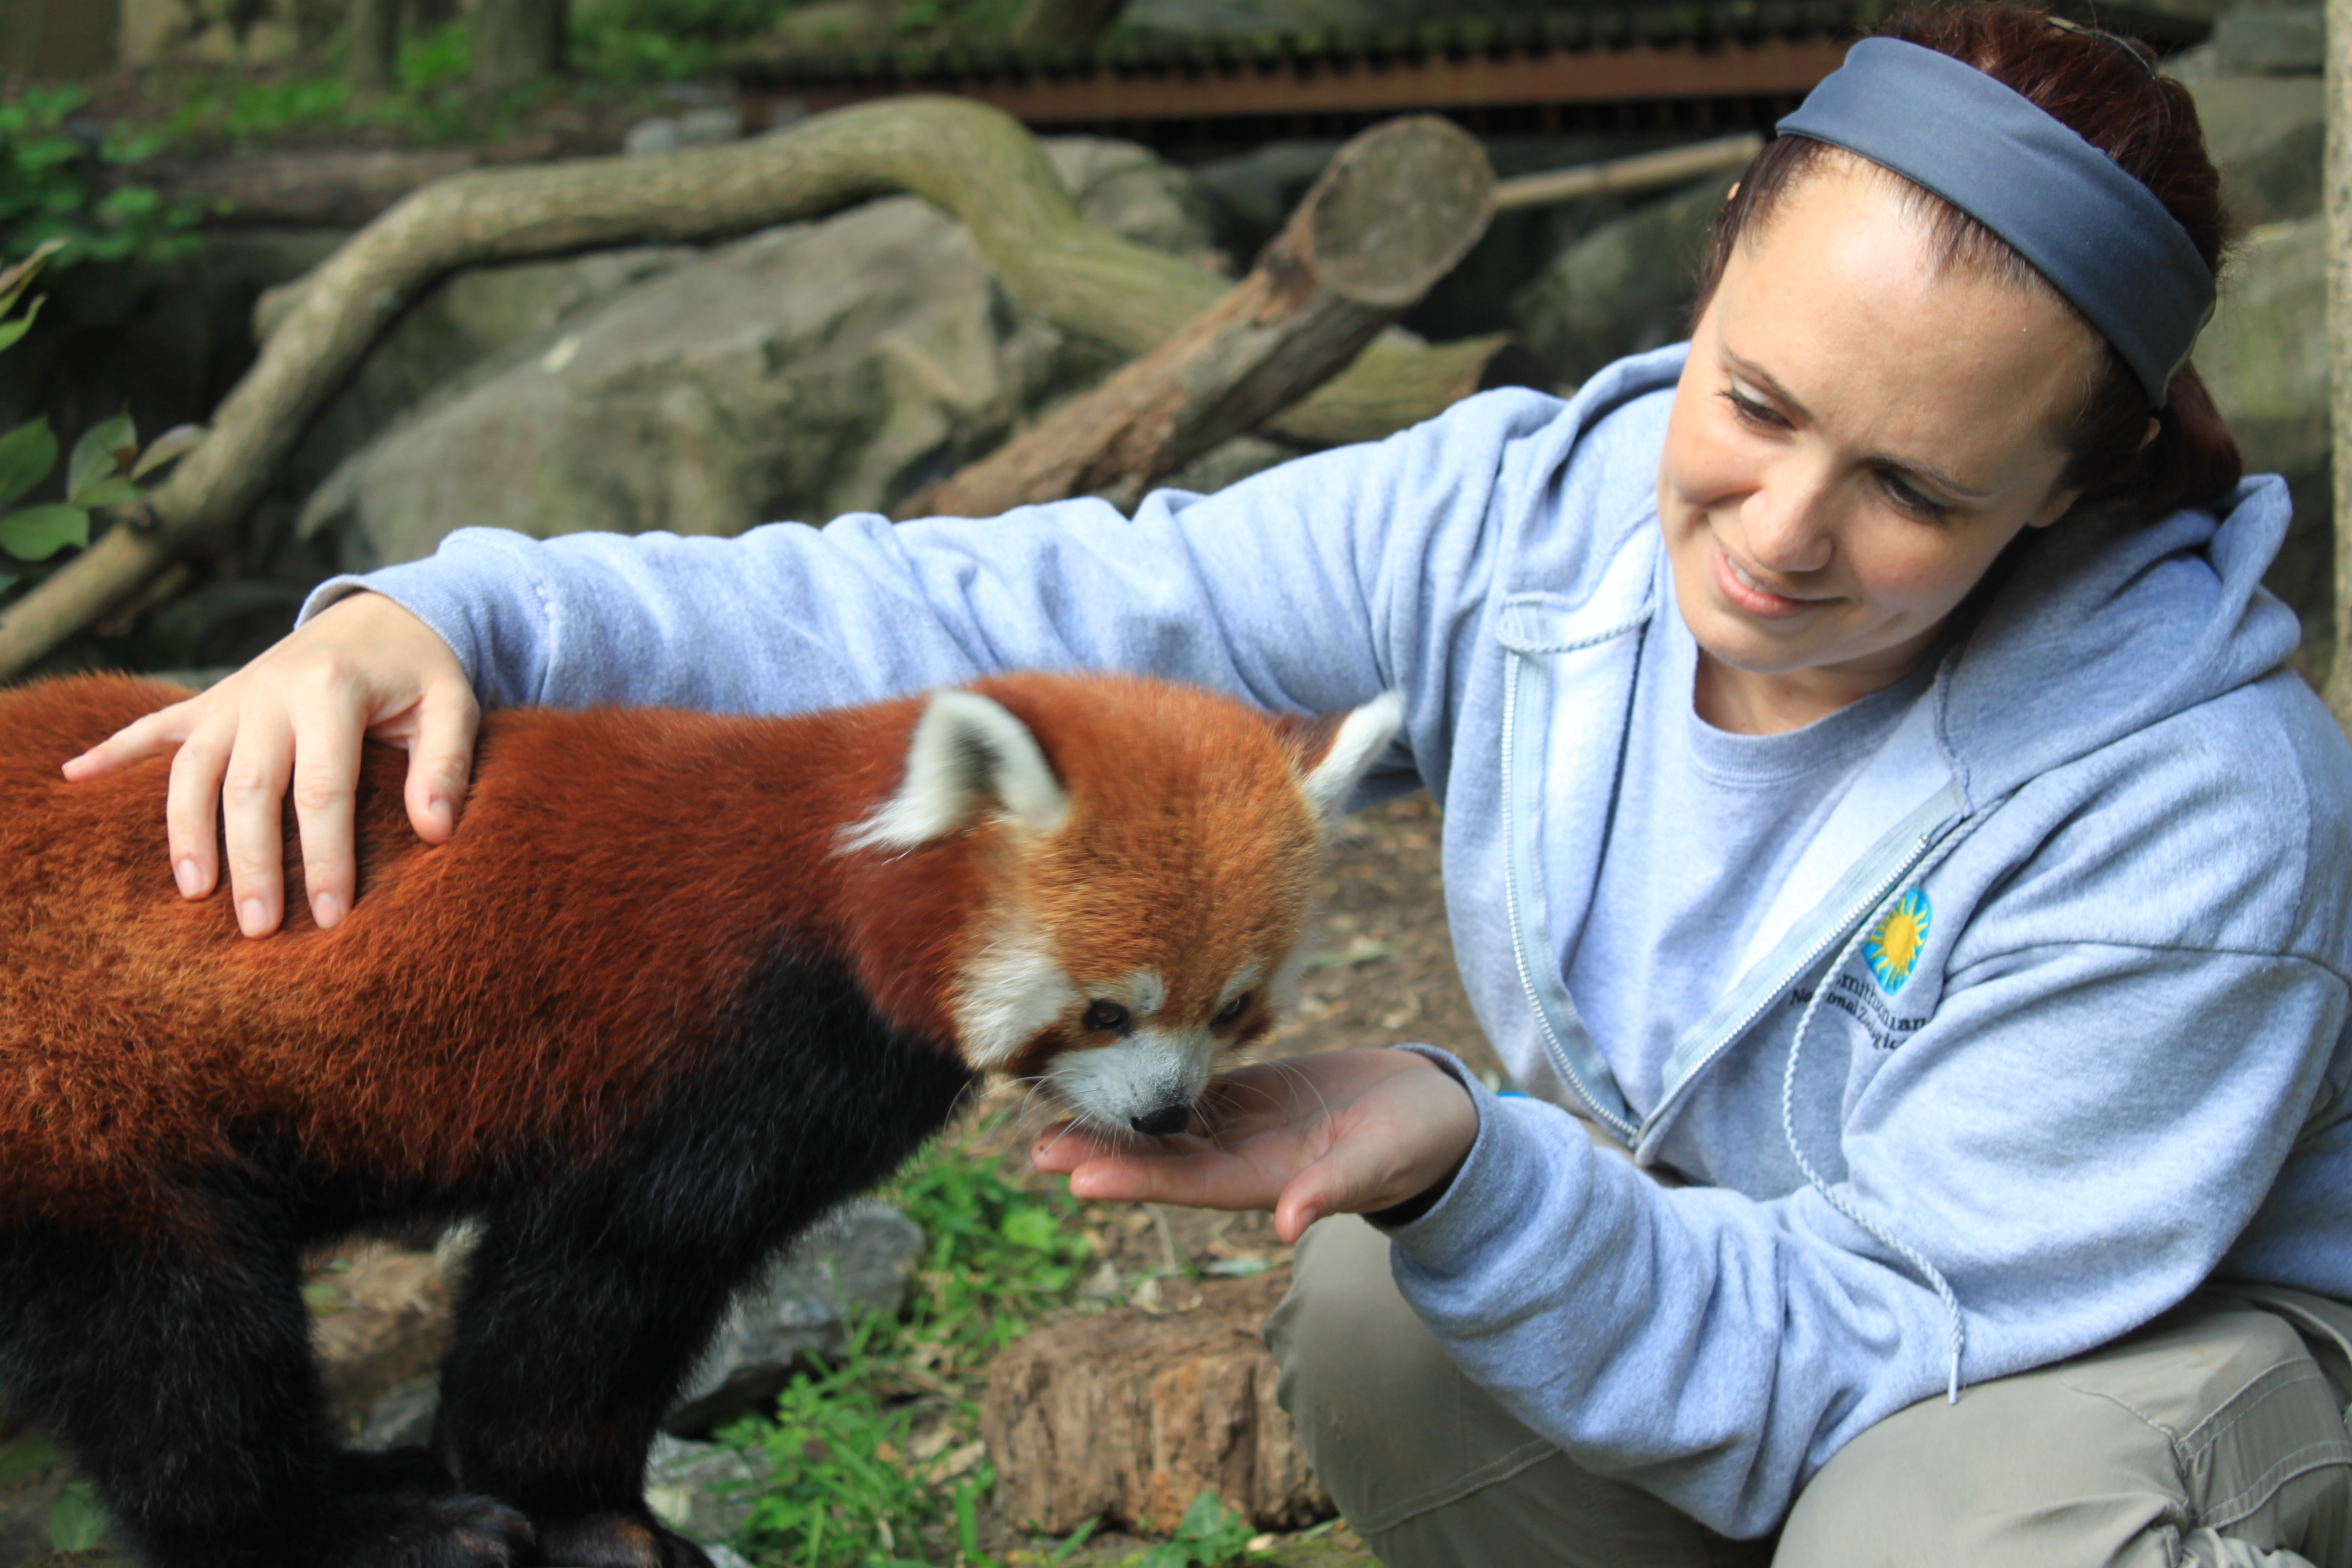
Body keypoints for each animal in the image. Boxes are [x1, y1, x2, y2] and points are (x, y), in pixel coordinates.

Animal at [0, 672, 1392, 1568]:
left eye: (1232, 1006)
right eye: (1107, 1010)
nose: (1163, 1113)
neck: (830, 885)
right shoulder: (701, 1064)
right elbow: (599, 1283)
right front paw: (584, 1511)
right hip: (89, 1099)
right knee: (177, 1343)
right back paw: (352, 1526)